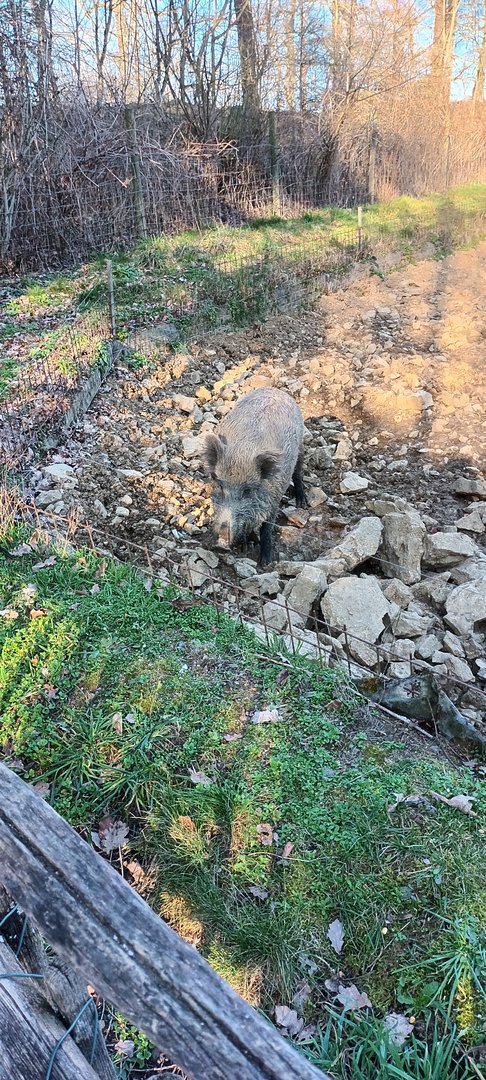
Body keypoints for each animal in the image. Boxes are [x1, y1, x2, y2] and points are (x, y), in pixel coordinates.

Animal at [203, 386, 306, 565]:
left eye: (247, 491)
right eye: (220, 486)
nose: (220, 544)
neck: (242, 452)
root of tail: (276, 390)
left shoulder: (274, 500)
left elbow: (266, 528)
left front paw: (265, 562)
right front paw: (246, 546)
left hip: (300, 445)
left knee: (298, 472)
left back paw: (302, 503)